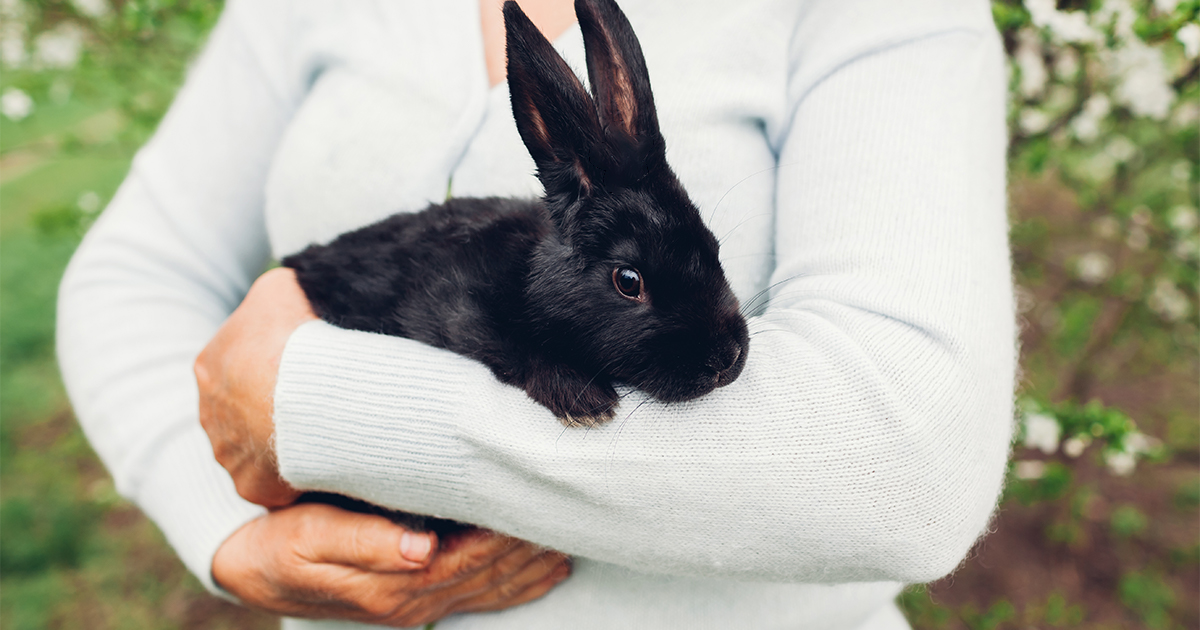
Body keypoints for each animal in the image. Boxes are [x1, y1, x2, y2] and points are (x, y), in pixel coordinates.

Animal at [283, 0, 749, 430]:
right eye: (628, 281)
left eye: (712, 246)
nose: (726, 358)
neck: (531, 278)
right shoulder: (459, 311)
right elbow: (507, 347)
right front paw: (585, 401)